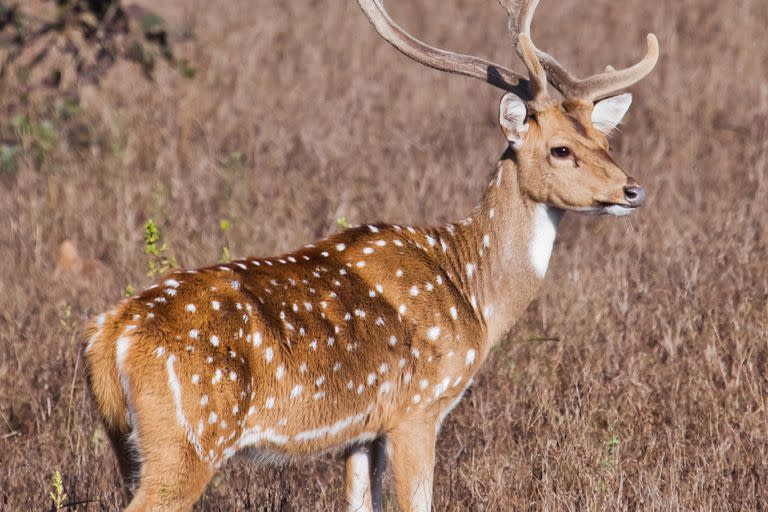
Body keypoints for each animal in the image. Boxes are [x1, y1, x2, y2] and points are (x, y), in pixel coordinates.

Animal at [84, 0, 660, 510]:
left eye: (607, 142)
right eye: (561, 149)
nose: (633, 191)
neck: (473, 296)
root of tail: (109, 334)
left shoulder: (361, 432)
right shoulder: (418, 408)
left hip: (128, 445)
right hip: (189, 436)